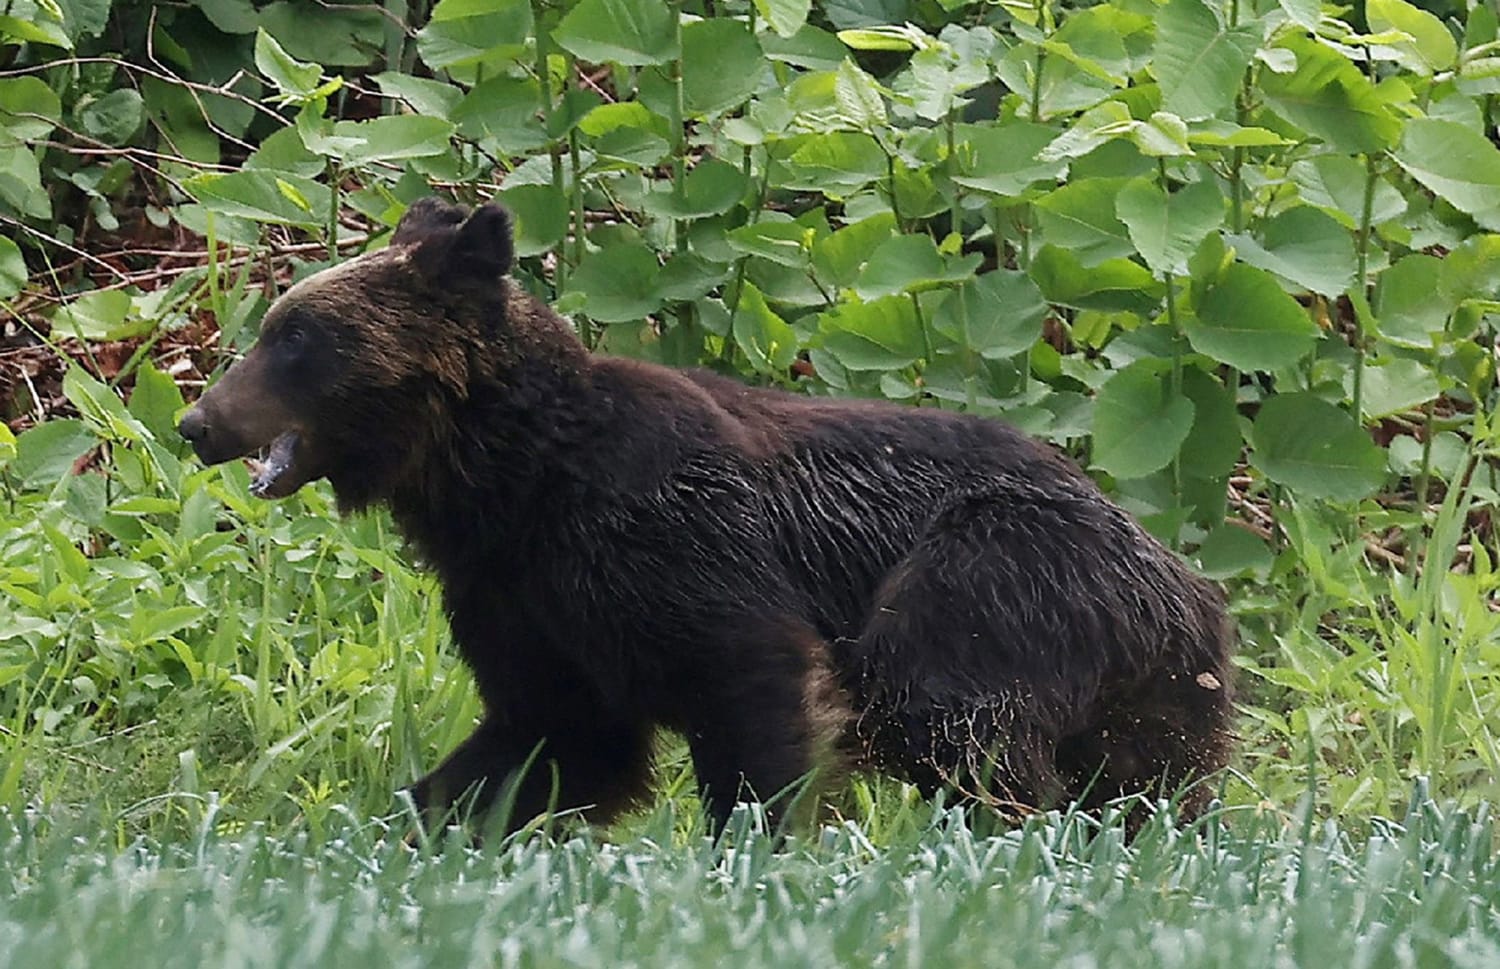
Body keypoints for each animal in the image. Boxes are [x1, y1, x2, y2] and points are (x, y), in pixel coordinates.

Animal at [175, 199, 1236, 834]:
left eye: (296, 337)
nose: (195, 421)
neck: (507, 480)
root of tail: (1184, 575)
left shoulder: (670, 537)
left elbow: (752, 681)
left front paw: (753, 846)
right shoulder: (521, 597)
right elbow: (551, 736)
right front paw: (422, 819)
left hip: (998, 569)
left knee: (944, 709)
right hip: (1156, 690)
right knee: (1149, 781)